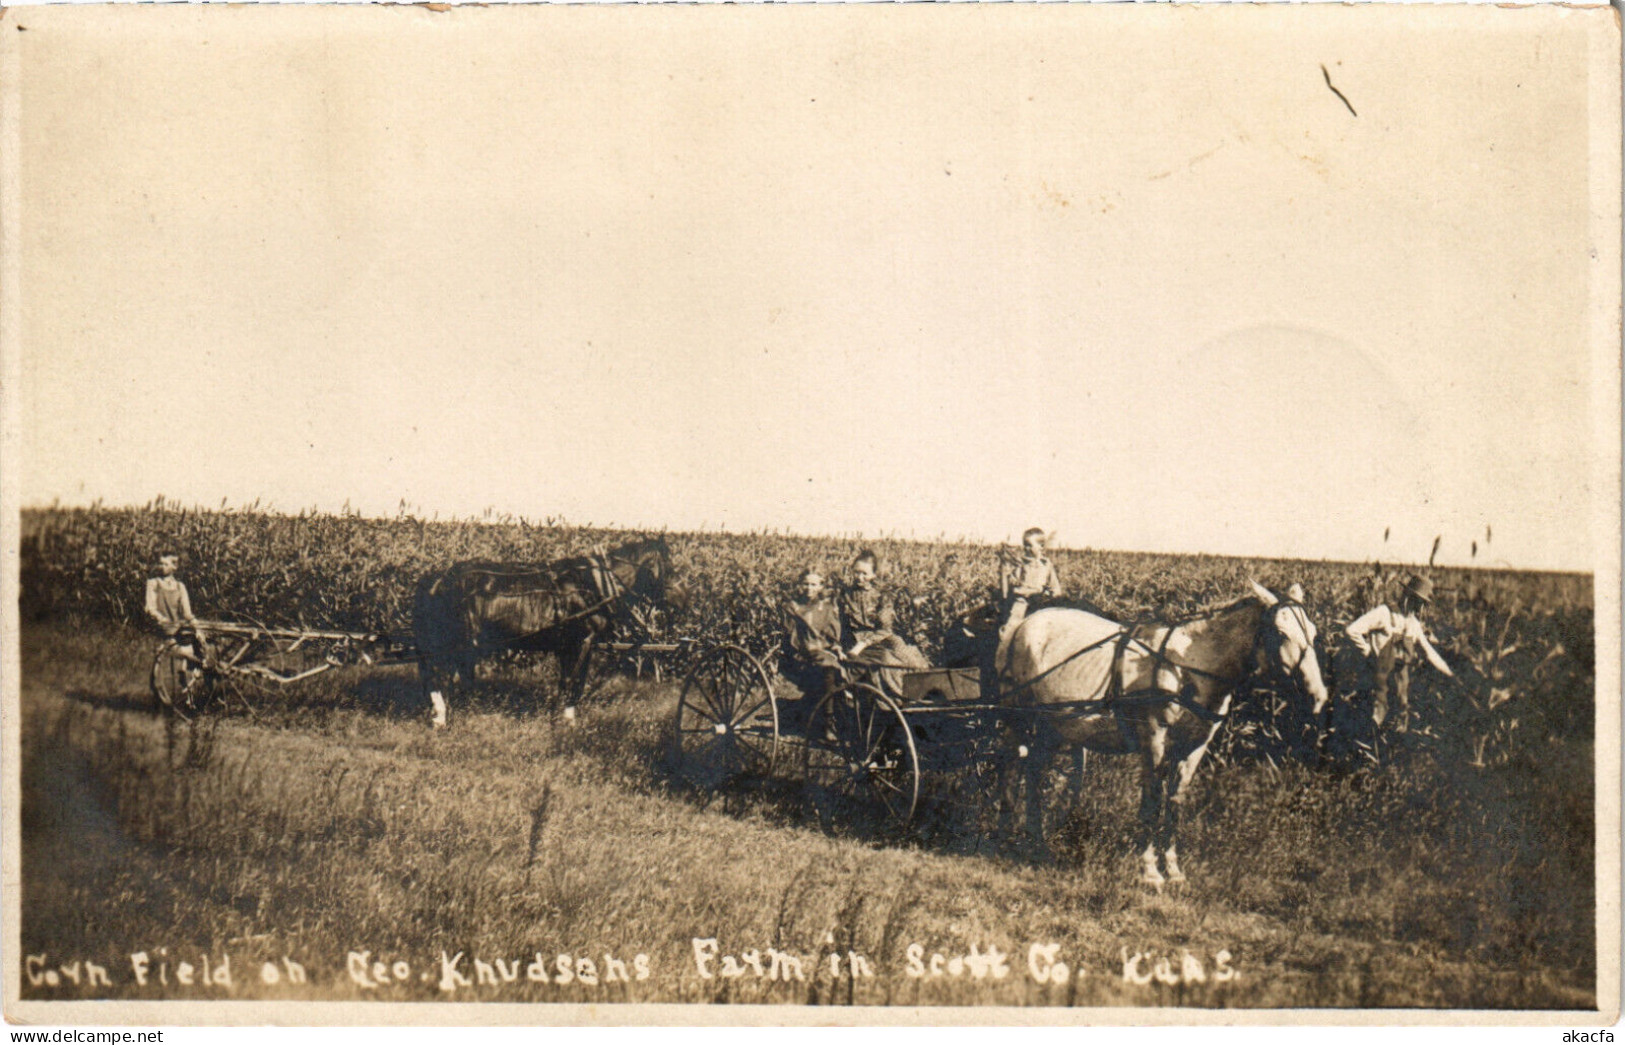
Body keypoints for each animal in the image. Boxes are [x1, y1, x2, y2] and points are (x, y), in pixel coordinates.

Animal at [412, 539, 685, 728]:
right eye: (669, 567)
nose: (686, 597)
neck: (592, 585)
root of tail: (437, 579)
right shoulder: (581, 643)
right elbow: (574, 682)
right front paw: (566, 720)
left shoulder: (570, 646)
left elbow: (568, 681)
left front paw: (562, 716)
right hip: (454, 642)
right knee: (437, 675)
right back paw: (441, 717)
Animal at [994, 581, 1326, 884]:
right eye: (1281, 633)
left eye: (1312, 632)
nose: (1318, 697)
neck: (1186, 668)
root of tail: (1025, 622)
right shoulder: (1154, 738)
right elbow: (1152, 800)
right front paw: (1149, 870)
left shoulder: (1195, 747)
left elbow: (1175, 802)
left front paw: (1174, 870)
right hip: (1019, 717)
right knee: (1010, 767)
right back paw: (1007, 836)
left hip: (1052, 727)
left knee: (1033, 772)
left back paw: (1037, 842)